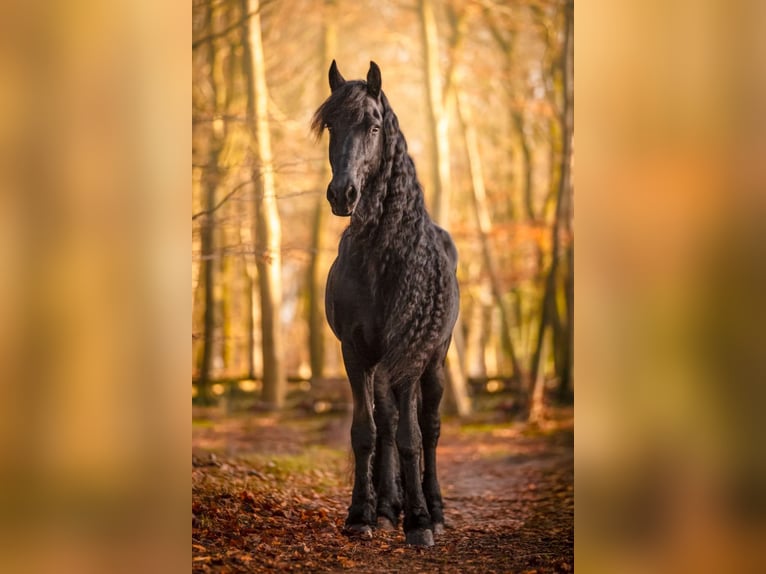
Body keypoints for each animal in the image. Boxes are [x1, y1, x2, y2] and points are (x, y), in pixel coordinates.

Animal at [314, 62, 462, 548]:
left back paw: (433, 509)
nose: (342, 195)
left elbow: (410, 437)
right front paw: (362, 514)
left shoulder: (411, 357)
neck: (382, 259)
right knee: (386, 422)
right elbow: (367, 431)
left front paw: (419, 522)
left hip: (434, 361)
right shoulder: (356, 352)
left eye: (374, 126)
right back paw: (386, 508)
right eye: (331, 126)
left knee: (429, 429)